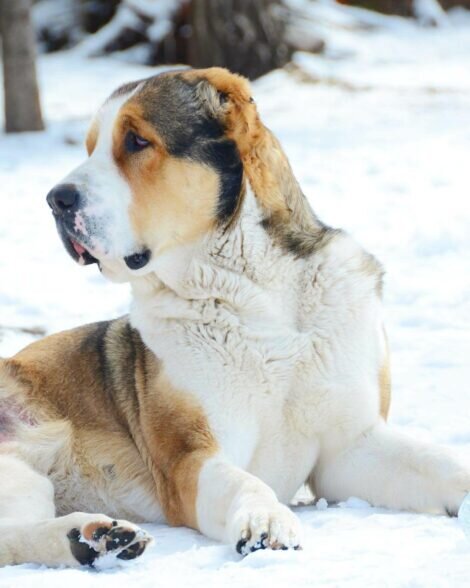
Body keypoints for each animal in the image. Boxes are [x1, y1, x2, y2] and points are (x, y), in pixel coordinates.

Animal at [0, 66, 470, 568]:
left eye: (137, 141)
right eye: (91, 147)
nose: (56, 199)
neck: (256, 297)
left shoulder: (349, 449)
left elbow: (440, 462)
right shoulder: (192, 459)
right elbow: (246, 483)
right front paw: (266, 521)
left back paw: (93, 539)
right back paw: (93, 537)